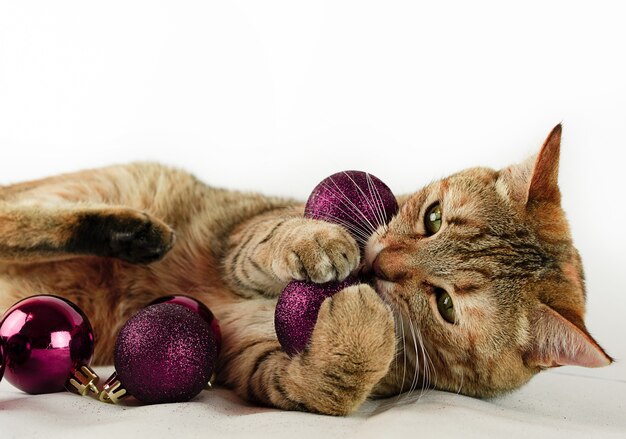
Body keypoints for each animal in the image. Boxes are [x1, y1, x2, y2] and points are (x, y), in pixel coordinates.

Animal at [0, 124, 608, 416]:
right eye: (433, 217)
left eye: (446, 305)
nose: (379, 263)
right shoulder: (246, 238)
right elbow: (275, 235)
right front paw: (318, 241)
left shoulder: (250, 363)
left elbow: (328, 387)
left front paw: (360, 329)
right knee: (12, 216)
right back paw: (136, 233)